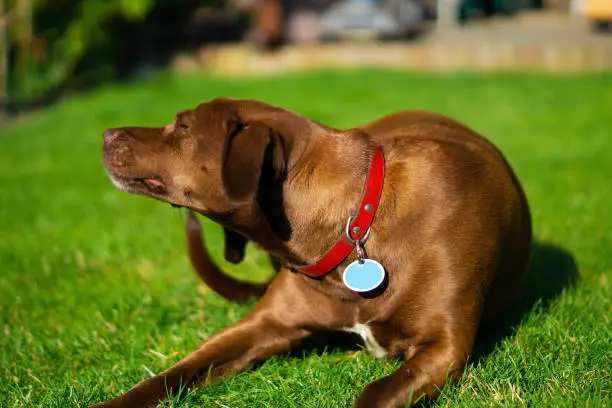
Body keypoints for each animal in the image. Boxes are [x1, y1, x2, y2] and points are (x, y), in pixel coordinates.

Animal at [97, 97, 532, 406]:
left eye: (184, 126)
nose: (105, 134)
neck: (356, 223)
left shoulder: (444, 347)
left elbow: (374, 393)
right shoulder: (262, 327)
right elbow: (171, 374)